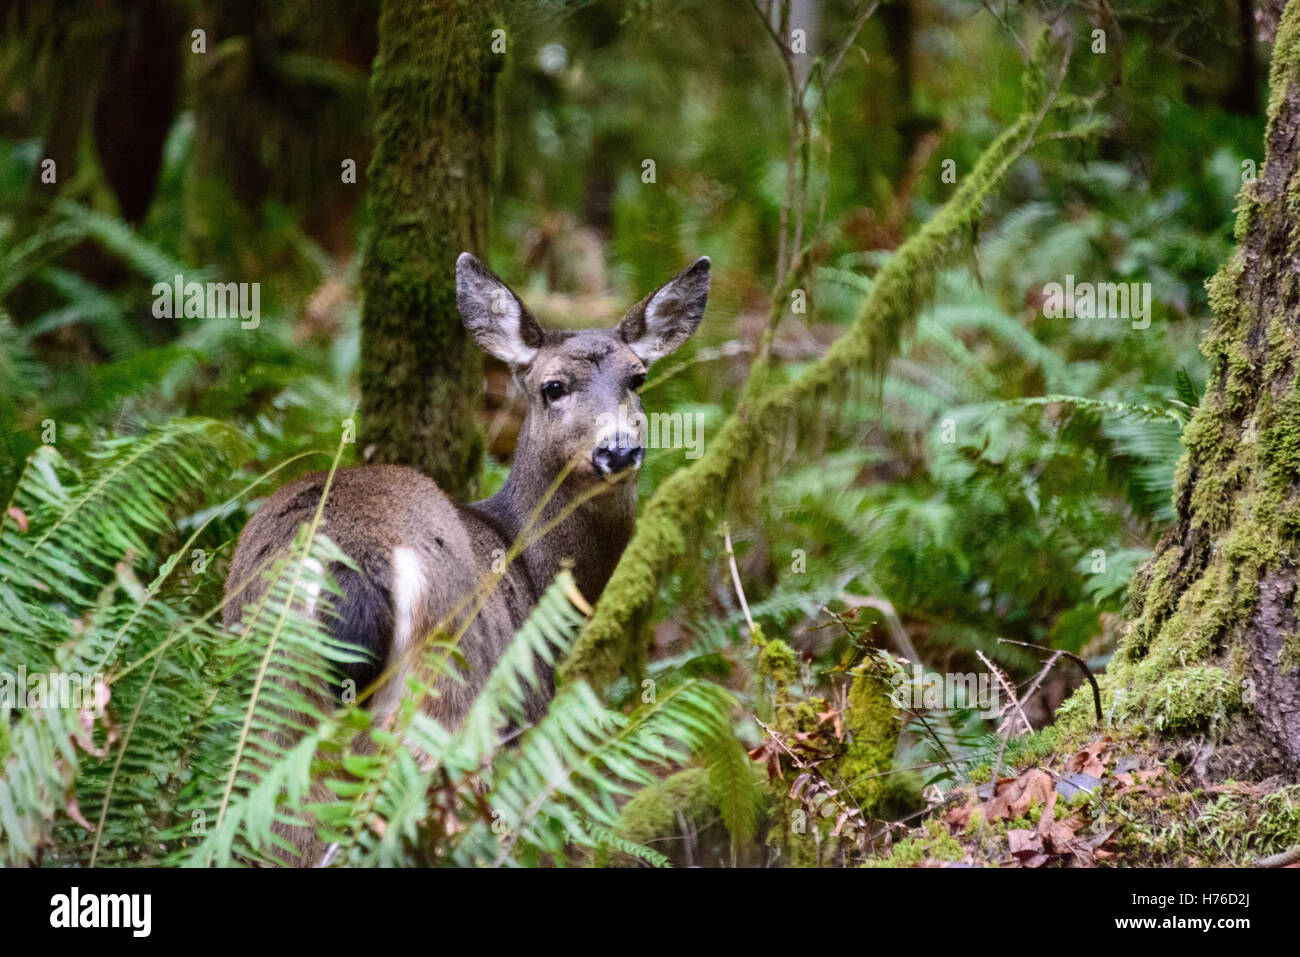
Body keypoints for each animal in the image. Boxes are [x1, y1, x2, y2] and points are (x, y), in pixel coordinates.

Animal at [223, 250, 712, 863]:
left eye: (637, 378)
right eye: (553, 386)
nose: (618, 450)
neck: (532, 565)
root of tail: (350, 562)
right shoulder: (523, 715)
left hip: (272, 703)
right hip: (445, 697)